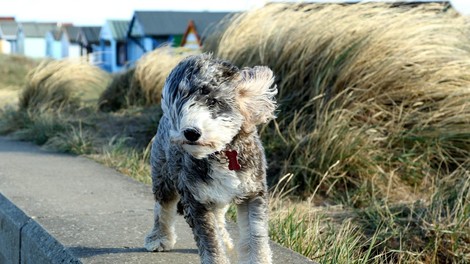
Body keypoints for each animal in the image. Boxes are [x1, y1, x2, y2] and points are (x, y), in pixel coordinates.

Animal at [143, 53, 276, 264]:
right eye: (179, 105)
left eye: (213, 101)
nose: (191, 132)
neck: (222, 153)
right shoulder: (196, 200)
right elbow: (209, 239)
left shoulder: (253, 193)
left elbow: (255, 233)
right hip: (163, 176)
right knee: (163, 207)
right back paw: (159, 238)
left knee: (219, 217)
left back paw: (227, 242)